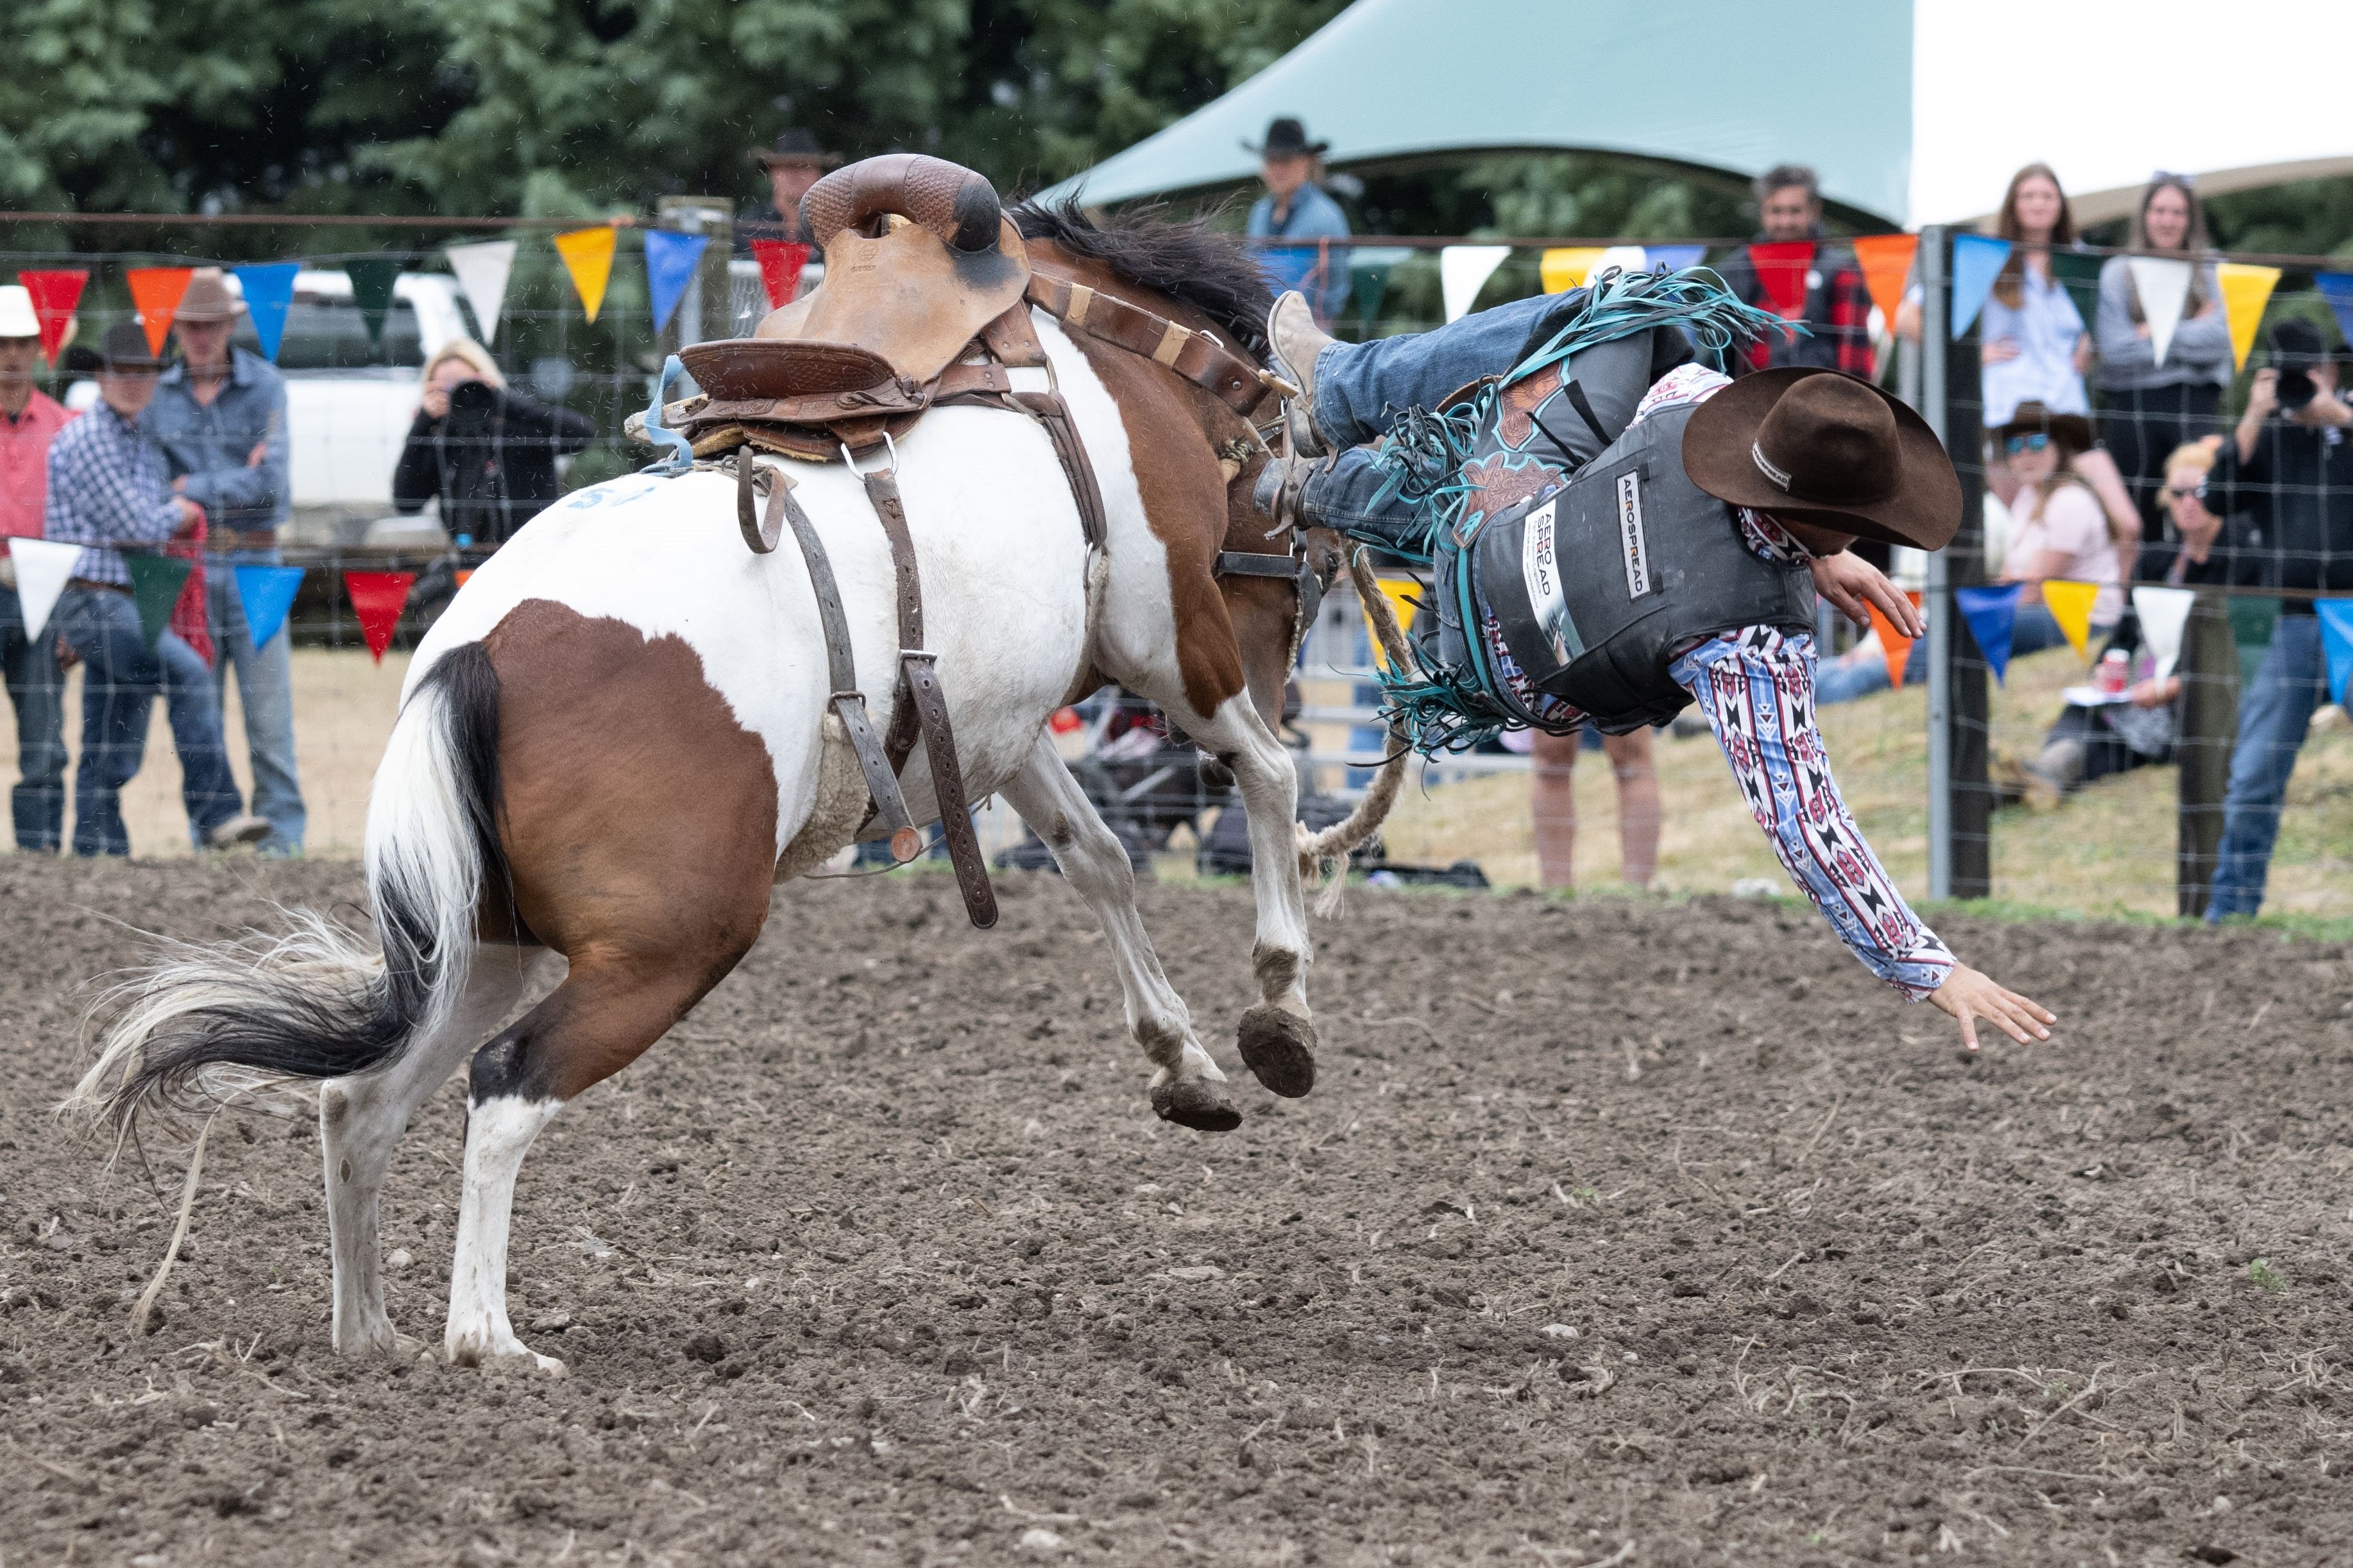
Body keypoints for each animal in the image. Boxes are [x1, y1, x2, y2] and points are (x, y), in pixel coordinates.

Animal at [73, 199, 1374, 1372]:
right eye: (1295, 509)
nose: (1292, 644)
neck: (1085, 357)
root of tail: (473, 657)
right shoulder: (1167, 637)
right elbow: (1267, 778)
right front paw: (1279, 1009)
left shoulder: (1000, 722)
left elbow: (1098, 857)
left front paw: (1184, 1062)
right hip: (670, 947)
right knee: (502, 1090)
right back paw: (485, 1338)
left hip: (476, 944)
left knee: (362, 1104)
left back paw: (369, 1332)